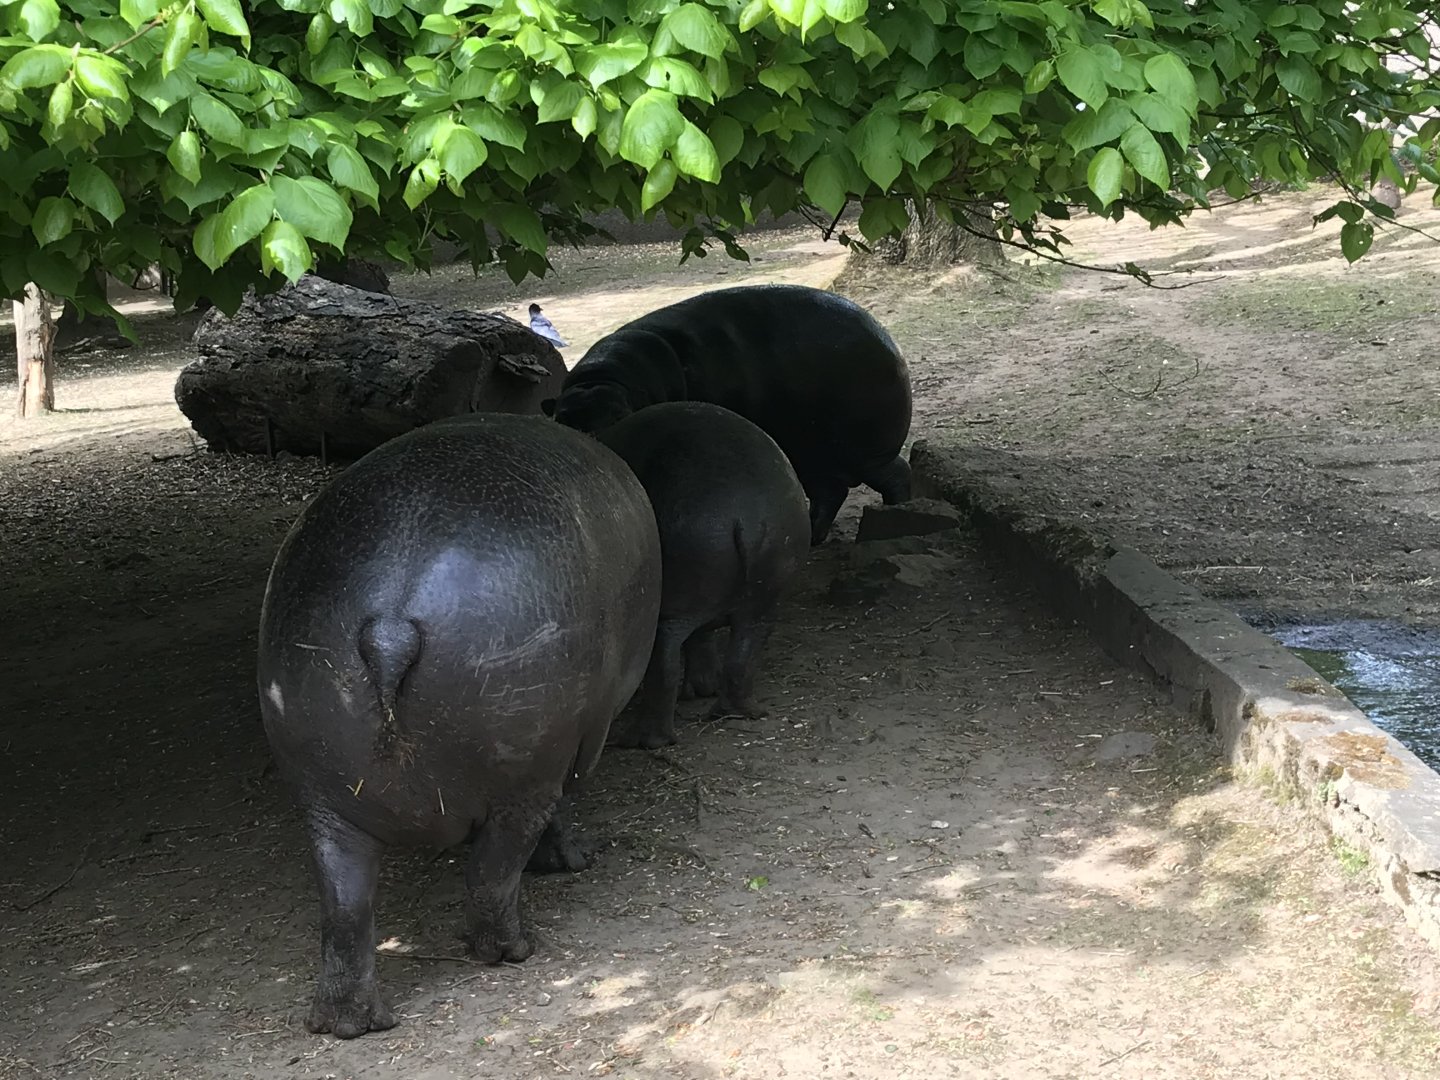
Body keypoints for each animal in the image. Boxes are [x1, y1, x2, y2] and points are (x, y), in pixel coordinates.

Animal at [257, 413, 662, 1039]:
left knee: (345, 907)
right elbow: (557, 813)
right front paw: (573, 861)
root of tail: (390, 625)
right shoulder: (575, 746)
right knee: (492, 872)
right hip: (524, 766)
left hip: (323, 797)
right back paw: (514, 950)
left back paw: (349, 1023)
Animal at [541, 284, 912, 545]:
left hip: (864, 451)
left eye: (621, 417)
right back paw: (812, 539)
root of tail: (888, 340)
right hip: (812, 454)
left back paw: (896, 520)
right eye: (561, 418)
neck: (606, 380)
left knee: (897, 474)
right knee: (830, 493)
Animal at [598, 402, 810, 748]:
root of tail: (747, 517)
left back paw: (645, 741)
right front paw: (702, 689)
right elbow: (704, 640)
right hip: (764, 598)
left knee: (665, 667)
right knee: (743, 654)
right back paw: (736, 711)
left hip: (671, 609)